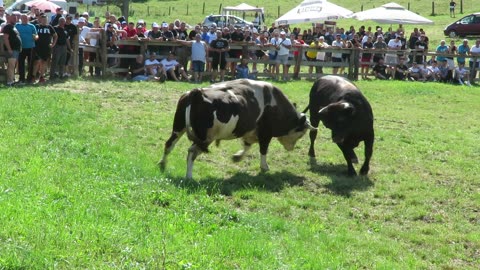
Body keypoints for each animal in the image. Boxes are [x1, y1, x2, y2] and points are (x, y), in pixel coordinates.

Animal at [158, 78, 316, 179]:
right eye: (301, 133)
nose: (291, 148)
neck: (274, 104)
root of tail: (196, 92)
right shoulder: (265, 133)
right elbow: (263, 150)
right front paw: (264, 167)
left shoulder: (250, 131)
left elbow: (247, 146)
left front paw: (237, 157)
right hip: (204, 138)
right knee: (191, 152)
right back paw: (189, 176)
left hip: (179, 128)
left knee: (169, 144)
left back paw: (162, 165)